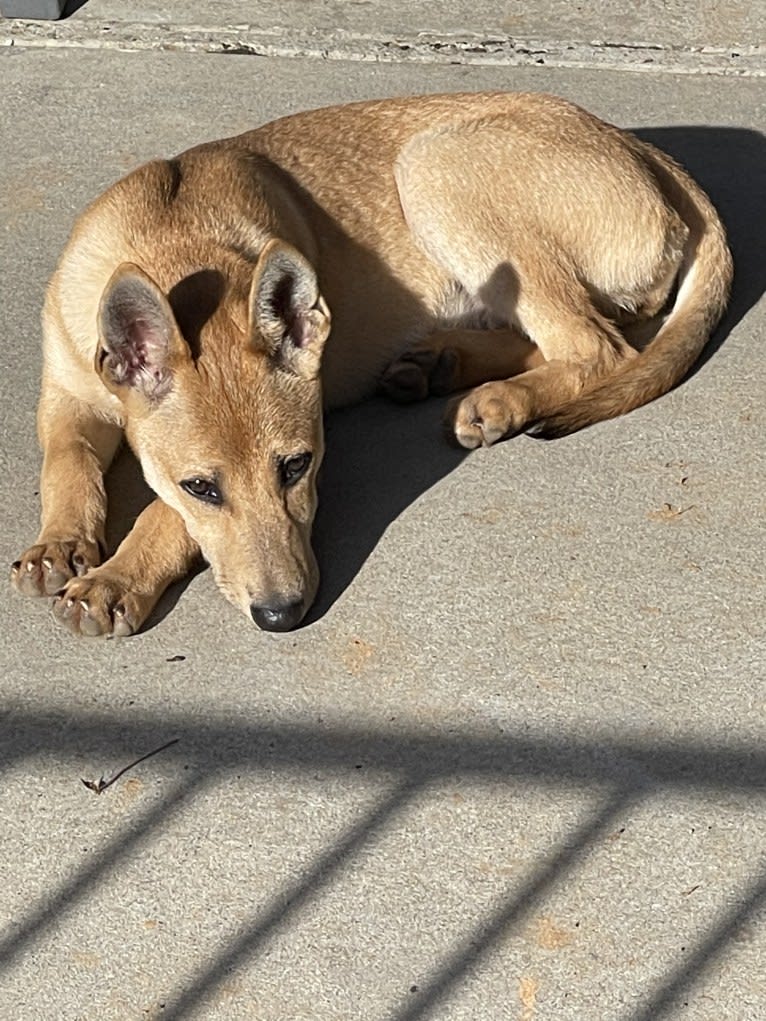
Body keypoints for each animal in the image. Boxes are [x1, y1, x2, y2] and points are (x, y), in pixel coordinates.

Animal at [10, 91, 731, 633]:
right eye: (203, 487)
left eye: (297, 466)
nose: (284, 616)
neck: (180, 252)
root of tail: (644, 150)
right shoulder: (65, 392)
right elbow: (68, 460)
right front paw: (59, 545)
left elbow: (161, 514)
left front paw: (115, 579)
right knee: (583, 332)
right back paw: (441, 363)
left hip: (436, 165)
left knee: (597, 345)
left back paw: (499, 397)